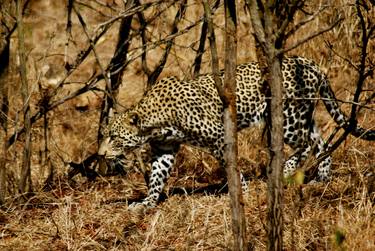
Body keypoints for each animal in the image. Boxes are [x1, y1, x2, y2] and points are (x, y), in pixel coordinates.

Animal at [98, 56, 374, 208]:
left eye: (114, 136)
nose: (100, 154)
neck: (154, 123)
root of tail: (309, 63)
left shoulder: (221, 135)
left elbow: (233, 167)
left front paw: (243, 192)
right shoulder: (164, 150)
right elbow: (156, 177)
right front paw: (147, 203)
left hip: (288, 117)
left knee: (306, 144)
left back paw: (285, 171)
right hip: (302, 115)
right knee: (320, 141)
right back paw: (322, 178)